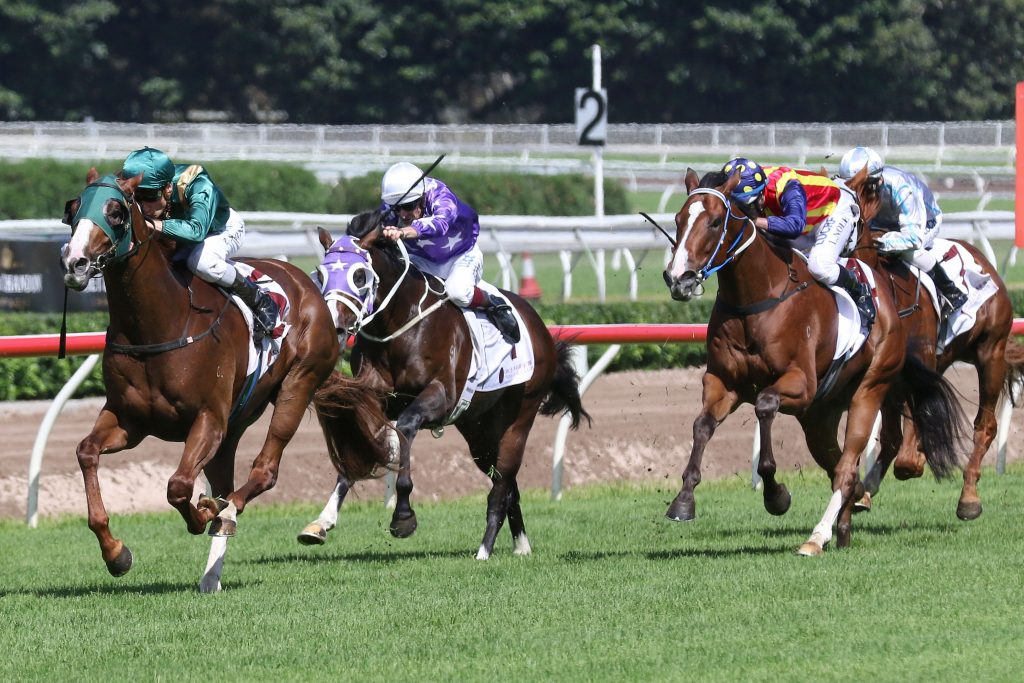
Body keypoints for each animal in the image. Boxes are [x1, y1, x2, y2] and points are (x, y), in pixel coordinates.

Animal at [60, 169, 339, 591]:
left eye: (116, 212)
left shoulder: (208, 418)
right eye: (73, 208)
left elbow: (178, 486)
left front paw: (204, 513)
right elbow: (85, 452)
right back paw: (212, 575)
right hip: (235, 422)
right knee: (226, 479)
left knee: (264, 471)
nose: (74, 262)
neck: (159, 322)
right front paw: (116, 553)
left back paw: (224, 512)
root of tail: (306, 282)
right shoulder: (129, 420)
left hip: (298, 382)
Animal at [298, 211, 590, 559]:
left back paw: (484, 550)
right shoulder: (377, 396)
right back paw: (521, 545)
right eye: (320, 274)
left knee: (501, 484)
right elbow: (362, 445)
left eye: (359, 276)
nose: (335, 326)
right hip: (479, 430)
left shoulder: (441, 395)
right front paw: (321, 522)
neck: (402, 323)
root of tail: (540, 328)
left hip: (520, 416)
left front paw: (403, 517)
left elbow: (405, 428)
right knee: (506, 485)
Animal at [661, 168, 965, 555]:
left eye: (715, 222)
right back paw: (845, 526)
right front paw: (683, 501)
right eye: (678, 219)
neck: (756, 299)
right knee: (839, 467)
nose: (678, 278)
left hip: (869, 389)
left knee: (847, 469)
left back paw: (817, 537)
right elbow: (702, 425)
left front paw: (776, 495)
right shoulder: (722, 383)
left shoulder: (800, 385)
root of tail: (889, 308)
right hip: (820, 416)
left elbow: (765, 404)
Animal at [849, 174, 1024, 520]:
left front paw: (915, 460)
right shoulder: (889, 372)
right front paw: (865, 489)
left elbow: (910, 442)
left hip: (990, 353)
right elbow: (892, 436)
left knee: (985, 426)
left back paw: (969, 498)